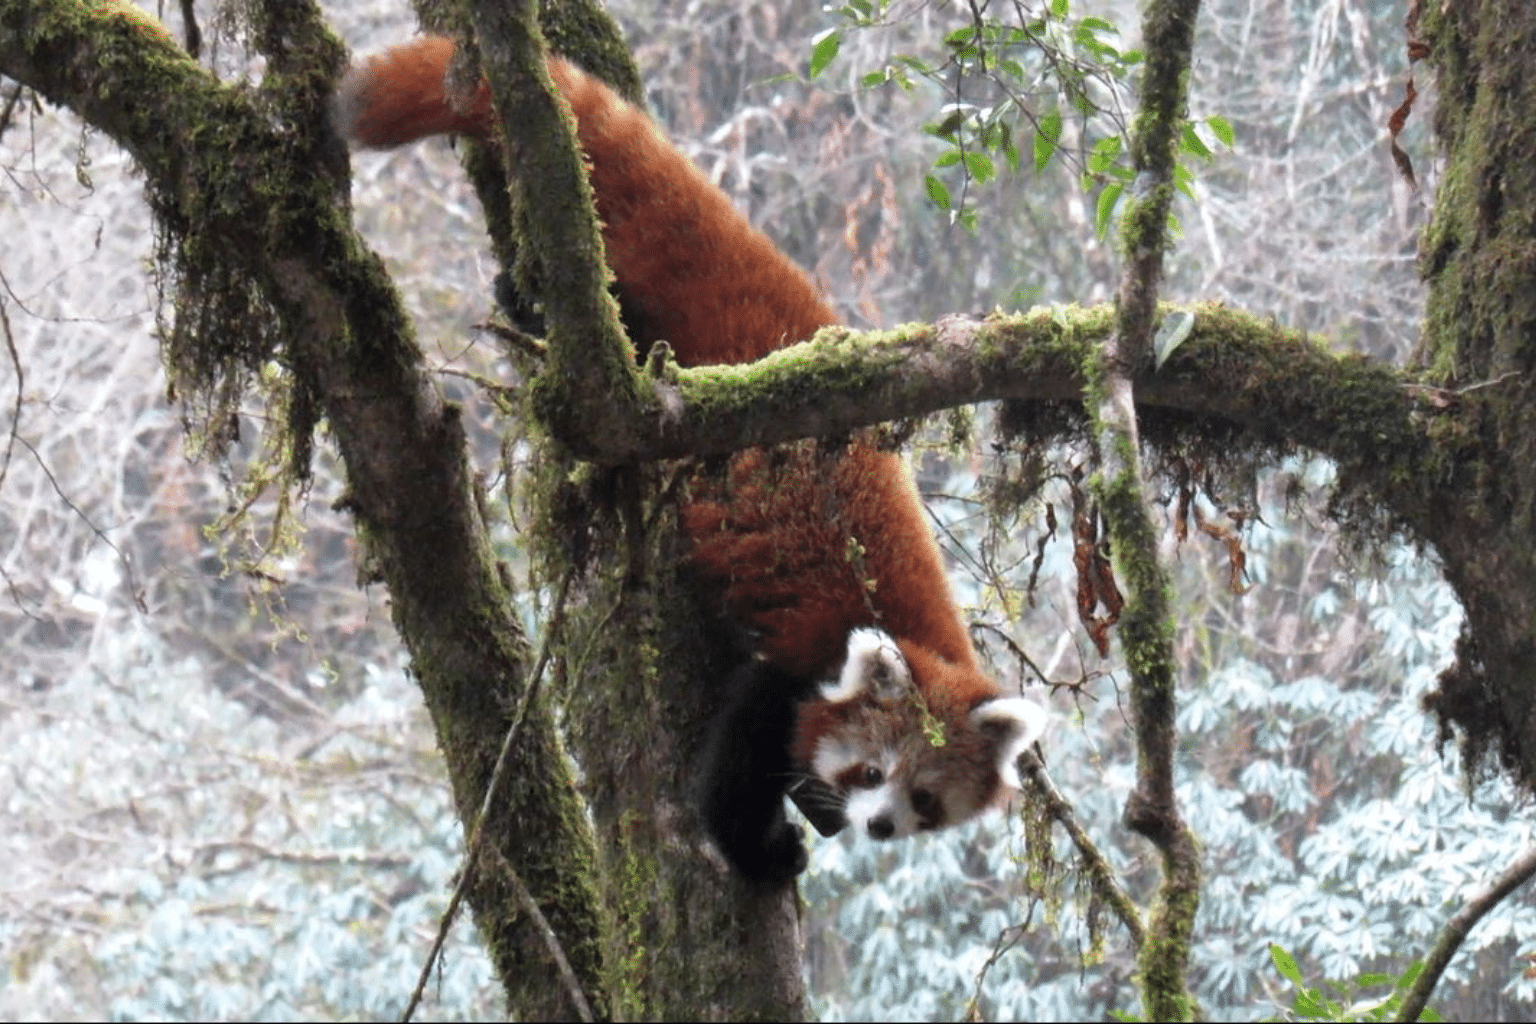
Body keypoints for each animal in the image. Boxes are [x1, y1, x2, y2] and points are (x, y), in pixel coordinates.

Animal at [334, 32, 1050, 884]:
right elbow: (736, 766)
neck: (919, 637)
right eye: (871, 771)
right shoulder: (797, 660)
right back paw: (527, 304)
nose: (877, 825)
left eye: (925, 798)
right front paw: (764, 849)